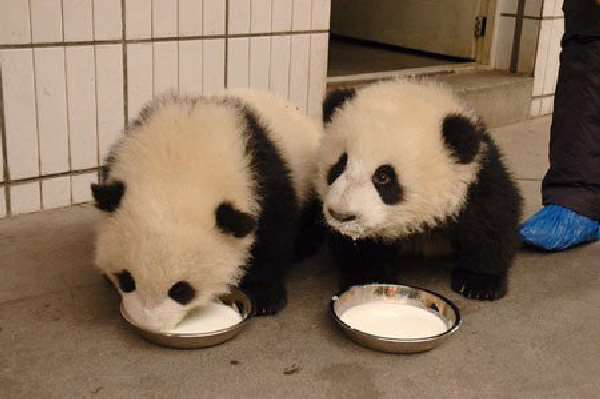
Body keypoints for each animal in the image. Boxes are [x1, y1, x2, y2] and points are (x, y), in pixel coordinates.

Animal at [91, 90, 324, 332]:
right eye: (126, 279)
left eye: (181, 290)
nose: (151, 323)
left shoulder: (262, 181)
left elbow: (272, 237)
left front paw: (265, 298)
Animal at [322, 80, 524, 300]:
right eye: (340, 165)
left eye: (383, 177)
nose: (341, 215)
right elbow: (360, 248)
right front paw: (368, 279)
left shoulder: (476, 178)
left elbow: (491, 219)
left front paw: (478, 283)